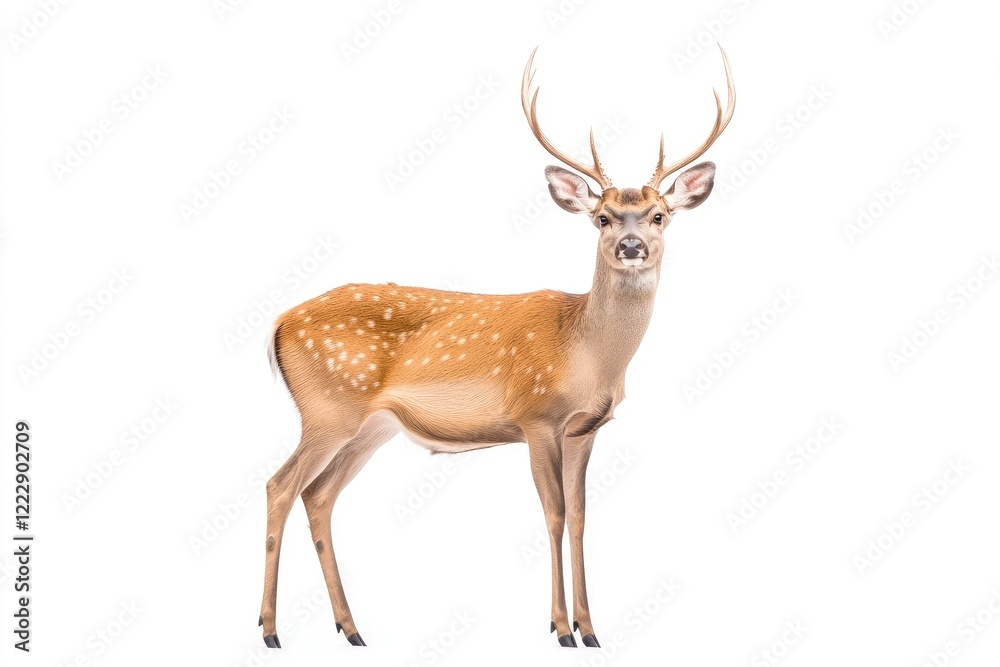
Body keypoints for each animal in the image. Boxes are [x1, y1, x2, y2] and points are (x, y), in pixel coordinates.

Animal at [258, 45, 735, 649]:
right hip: (327, 407)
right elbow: (554, 514)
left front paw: (591, 629)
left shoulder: (584, 429)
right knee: (279, 486)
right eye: (602, 217)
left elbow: (582, 517)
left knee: (318, 496)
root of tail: (277, 322)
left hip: (370, 426)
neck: (586, 351)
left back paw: (352, 628)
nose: (631, 245)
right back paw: (271, 630)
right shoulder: (535, 416)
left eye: (659, 215)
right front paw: (560, 629)